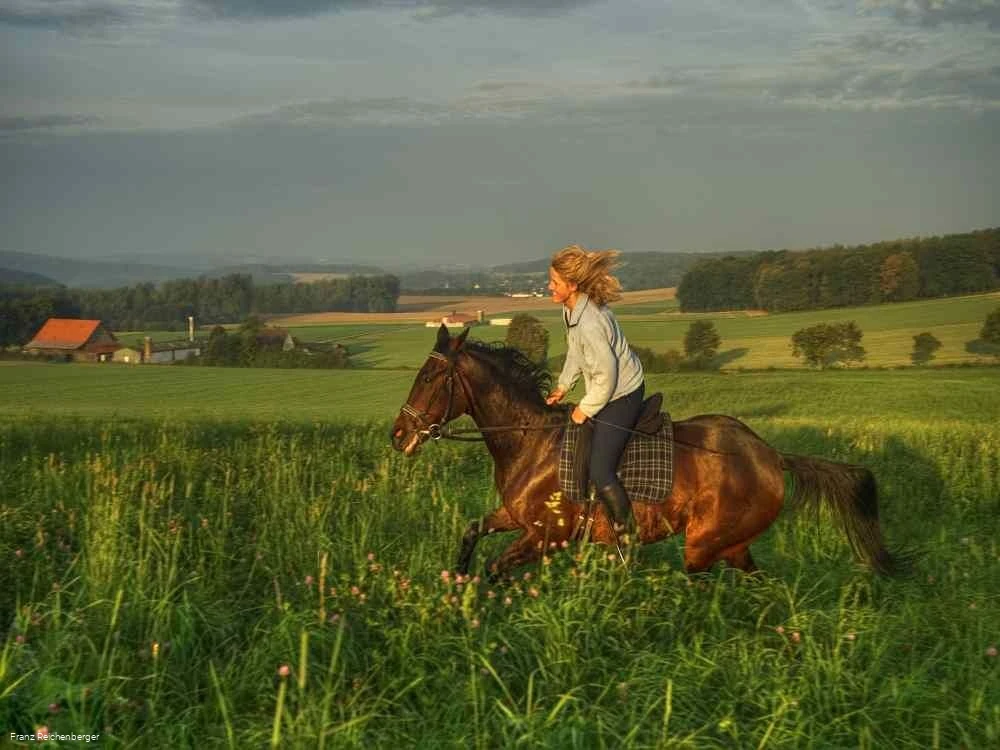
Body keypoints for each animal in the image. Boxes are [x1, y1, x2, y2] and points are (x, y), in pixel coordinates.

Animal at [390, 324, 905, 580]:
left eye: (430, 377)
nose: (399, 434)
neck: (531, 440)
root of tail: (772, 456)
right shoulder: (517, 517)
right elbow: (471, 532)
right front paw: (457, 589)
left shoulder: (546, 537)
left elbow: (496, 569)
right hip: (731, 547)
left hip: (704, 545)